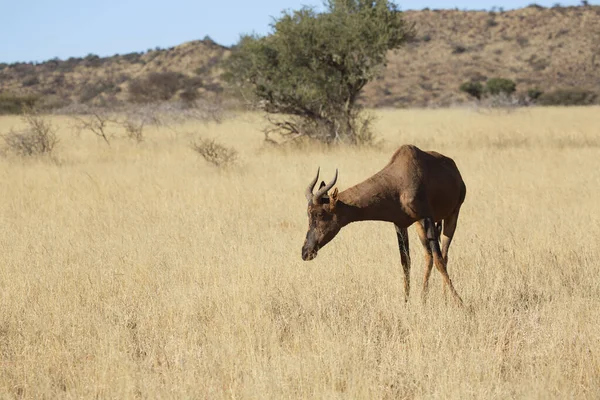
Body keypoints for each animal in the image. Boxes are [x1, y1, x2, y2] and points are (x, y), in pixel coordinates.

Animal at [302, 145, 466, 304]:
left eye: (320, 214)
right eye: (308, 214)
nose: (305, 252)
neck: (400, 178)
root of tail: (453, 167)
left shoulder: (427, 218)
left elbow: (439, 260)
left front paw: (461, 303)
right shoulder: (400, 224)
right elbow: (405, 262)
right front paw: (406, 303)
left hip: (452, 215)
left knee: (444, 255)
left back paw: (445, 298)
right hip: (419, 226)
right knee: (428, 256)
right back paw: (423, 299)